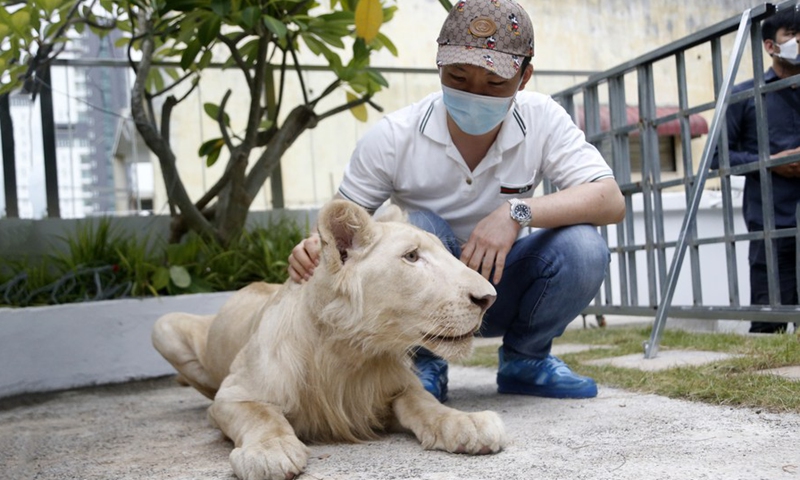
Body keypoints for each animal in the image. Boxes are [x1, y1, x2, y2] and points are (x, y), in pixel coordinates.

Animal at [152, 199, 506, 480]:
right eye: (412, 256)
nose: (489, 298)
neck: (349, 350)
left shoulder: (399, 388)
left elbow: (427, 405)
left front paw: (468, 423)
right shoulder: (234, 394)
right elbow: (262, 416)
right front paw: (270, 451)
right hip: (162, 326)